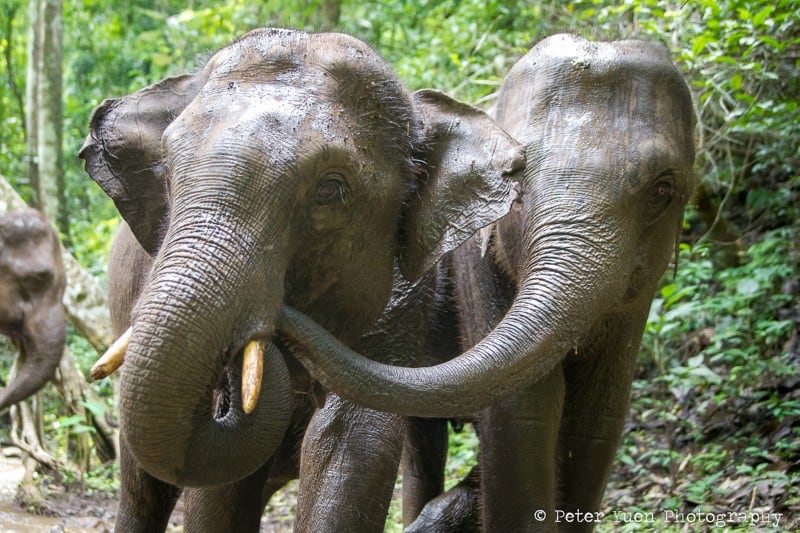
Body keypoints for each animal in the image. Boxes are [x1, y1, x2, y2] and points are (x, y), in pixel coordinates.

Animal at [79, 28, 523, 531]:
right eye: (168, 173)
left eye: (330, 189)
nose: (273, 322)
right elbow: (218, 490)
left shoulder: (403, 297)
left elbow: (351, 444)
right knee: (142, 486)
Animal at [277, 33, 697, 531]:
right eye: (519, 176)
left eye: (663, 189)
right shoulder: (474, 267)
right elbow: (524, 410)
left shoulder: (638, 299)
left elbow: (598, 417)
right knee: (422, 440)